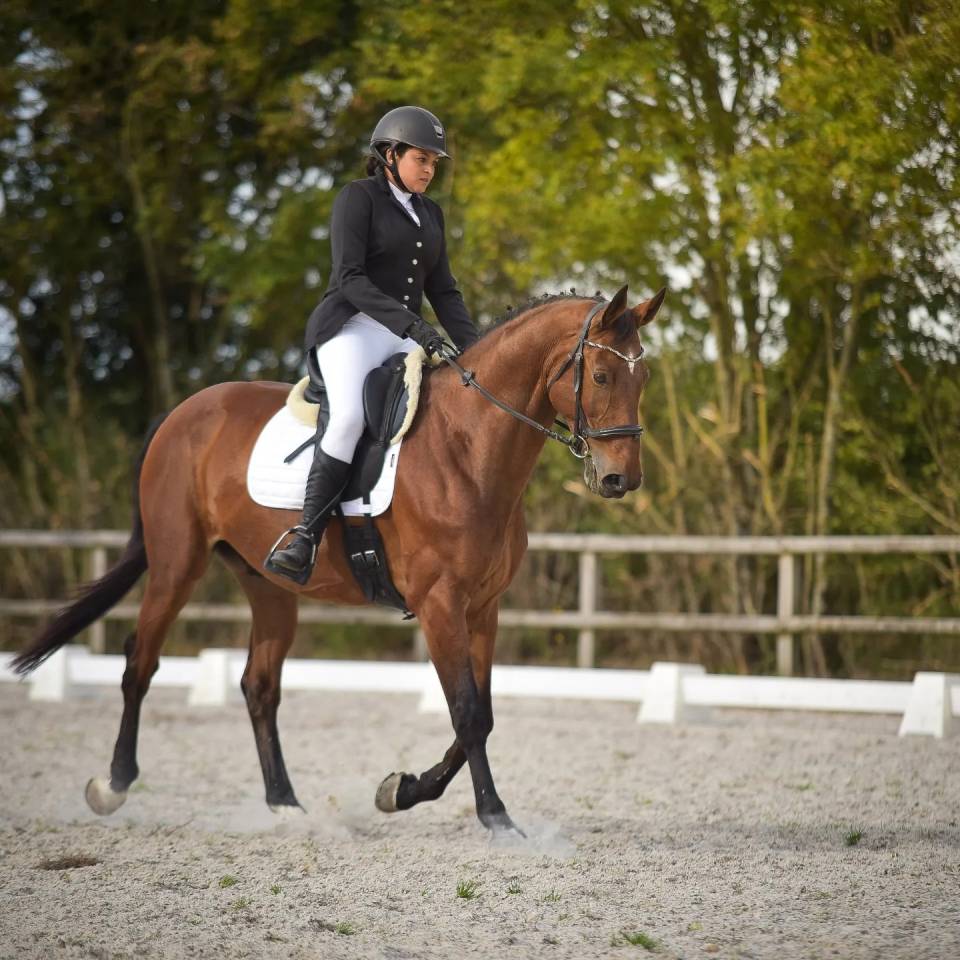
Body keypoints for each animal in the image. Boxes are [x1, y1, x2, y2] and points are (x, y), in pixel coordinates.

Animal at [13, 283, 664, 836]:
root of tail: (182, 413)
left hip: (268, 585)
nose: (620, 480)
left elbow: (479, 714)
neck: (468, 448)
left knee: (258, 685)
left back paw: (285, 805)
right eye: (601, 374)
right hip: (178, 563)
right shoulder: (440, 605)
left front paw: (399, 790)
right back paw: (112, 786)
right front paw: (493, 817)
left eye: (645, 378)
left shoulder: (483, 608)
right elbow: (468, 713)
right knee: (139, 663)